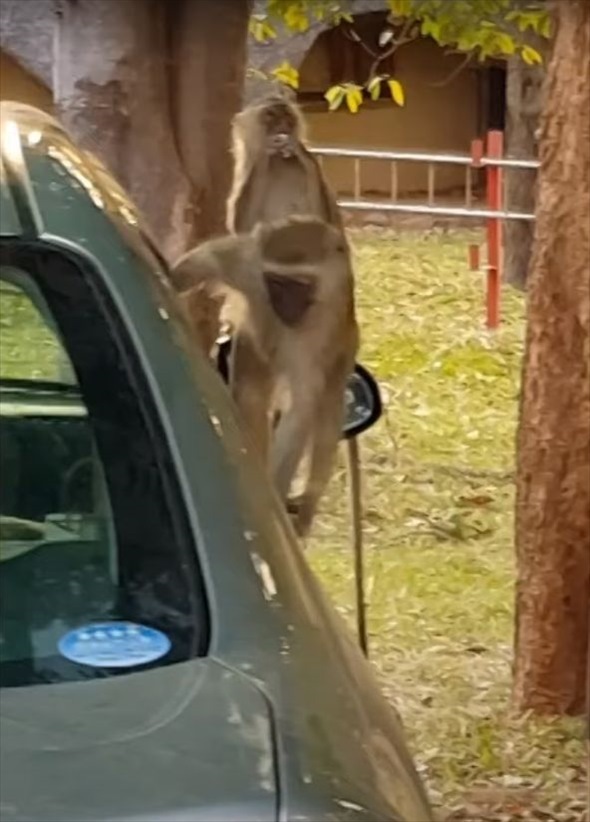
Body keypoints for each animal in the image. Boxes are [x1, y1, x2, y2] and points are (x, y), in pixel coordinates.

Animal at [171, 216, 360, 536]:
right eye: (276, 283)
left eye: (300, 285)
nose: (285, 307)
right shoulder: (247, 265)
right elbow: (206, 260)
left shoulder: (322, 330)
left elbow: (302, 406)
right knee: (253, 393)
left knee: (327, 416)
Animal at [228, 95, 346, 235]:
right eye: (270, 115)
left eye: (287, 115)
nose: (283, 124)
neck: (278, 161)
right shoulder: (244, 166)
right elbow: (244, 228)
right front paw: (264, 151)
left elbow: (324, 221)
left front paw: (298, 148)